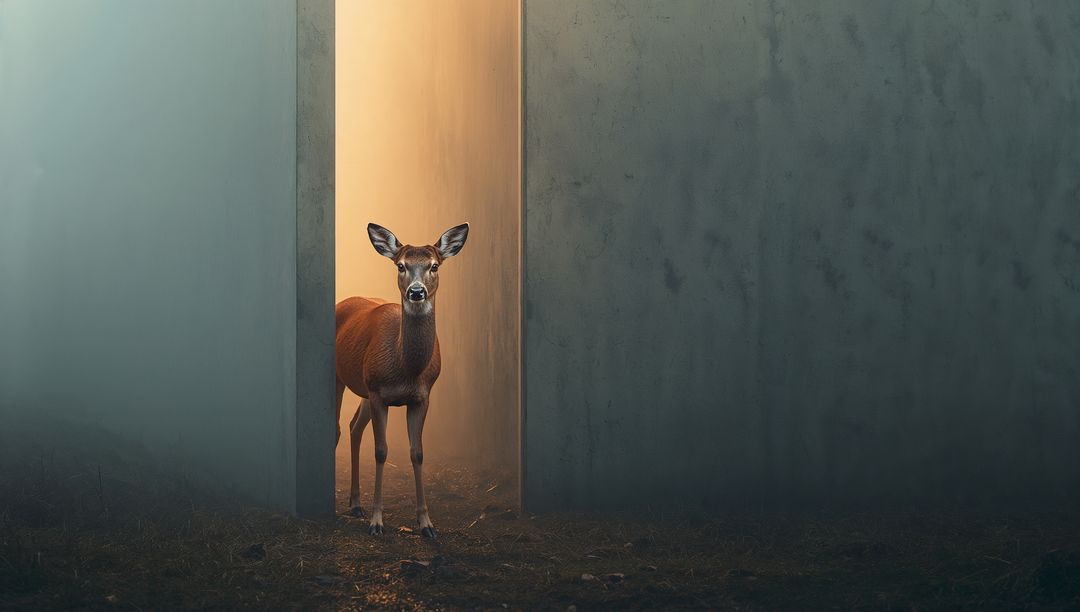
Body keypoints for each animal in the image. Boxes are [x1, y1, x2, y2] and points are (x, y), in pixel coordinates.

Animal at [335, 222, 469, 539]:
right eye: (400, 265)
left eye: (434, 265)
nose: (416, 292)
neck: (407, 368)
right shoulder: (378, 392)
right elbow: (381, 451)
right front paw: (377, 522)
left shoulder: (421, 396)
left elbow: (417, 453)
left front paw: (426, 523)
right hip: (342, 378)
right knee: (339, 428)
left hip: (363, 388)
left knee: (354, 426)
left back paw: (355, 503)